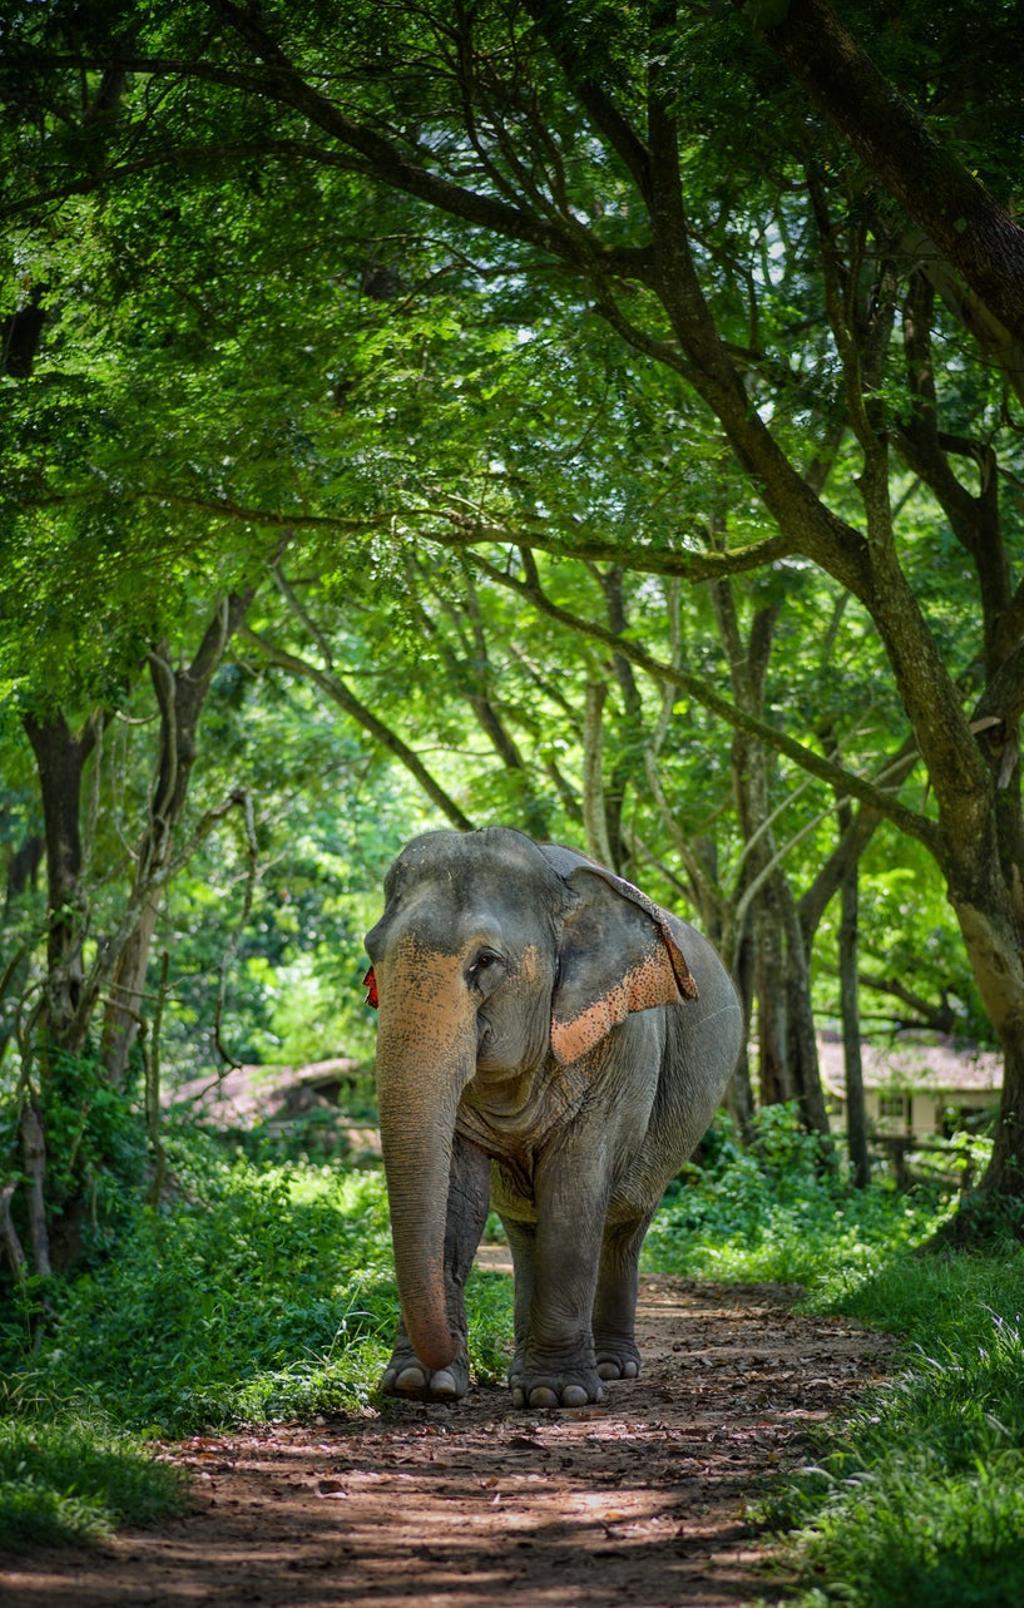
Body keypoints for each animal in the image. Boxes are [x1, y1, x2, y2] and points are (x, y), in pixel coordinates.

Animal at [363, 829, 739, 1408]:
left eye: (486, 961)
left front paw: (556, 1396)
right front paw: (420, 1385)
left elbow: (575, 1188)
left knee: (624, 1224)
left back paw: (611, 1368)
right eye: (371, 953)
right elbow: (454, 1192)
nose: (441, 1350)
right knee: (525, 1229)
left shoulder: (619, 1045)